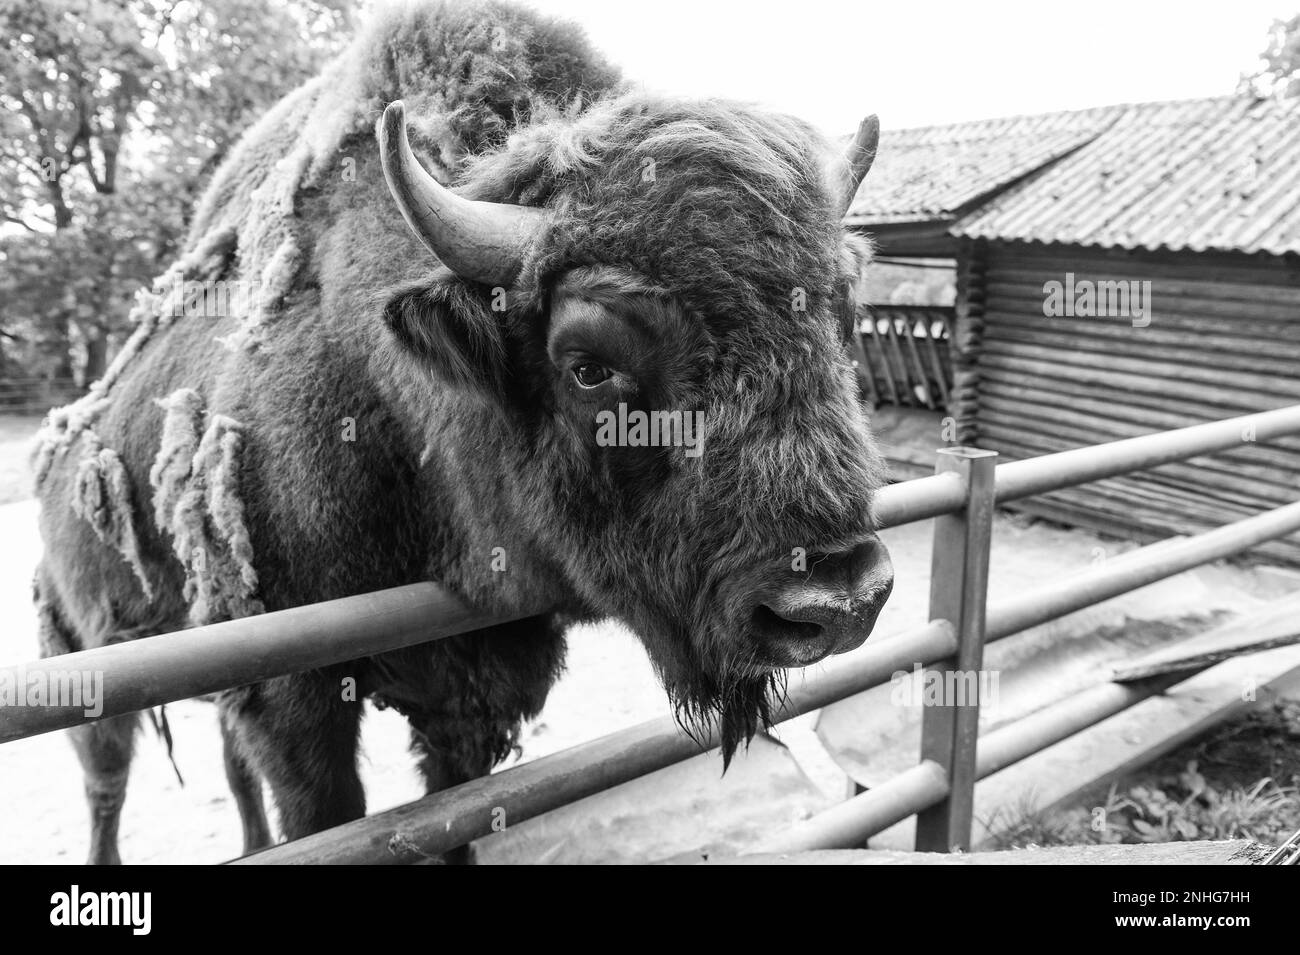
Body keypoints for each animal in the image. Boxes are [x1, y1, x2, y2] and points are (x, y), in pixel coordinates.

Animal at [32, 0, 893, 864]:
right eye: (589, 365)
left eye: (842, 321)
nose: (839, 600)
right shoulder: (291, 698)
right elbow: (323, 811)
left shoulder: (469, 693)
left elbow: (448, 812)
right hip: (86, 656)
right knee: (106, 782)